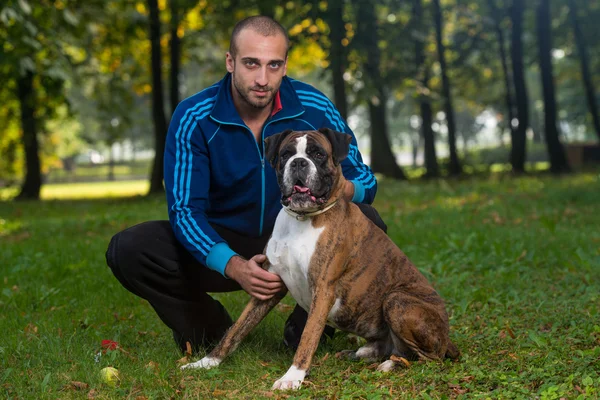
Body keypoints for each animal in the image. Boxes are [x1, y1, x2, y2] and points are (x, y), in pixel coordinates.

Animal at [180, 128, 458, 390]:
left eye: (318, 154)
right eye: (286, 154)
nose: (299, 163)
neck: (301, 219)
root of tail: (447, 337)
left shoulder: (323, 290)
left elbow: (307, 337)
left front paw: (292, 377)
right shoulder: (268, 286)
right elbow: (236, 330)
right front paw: (206, 362)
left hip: (397, 300)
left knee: (429, 358)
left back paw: (391, 364)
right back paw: (361, 353)